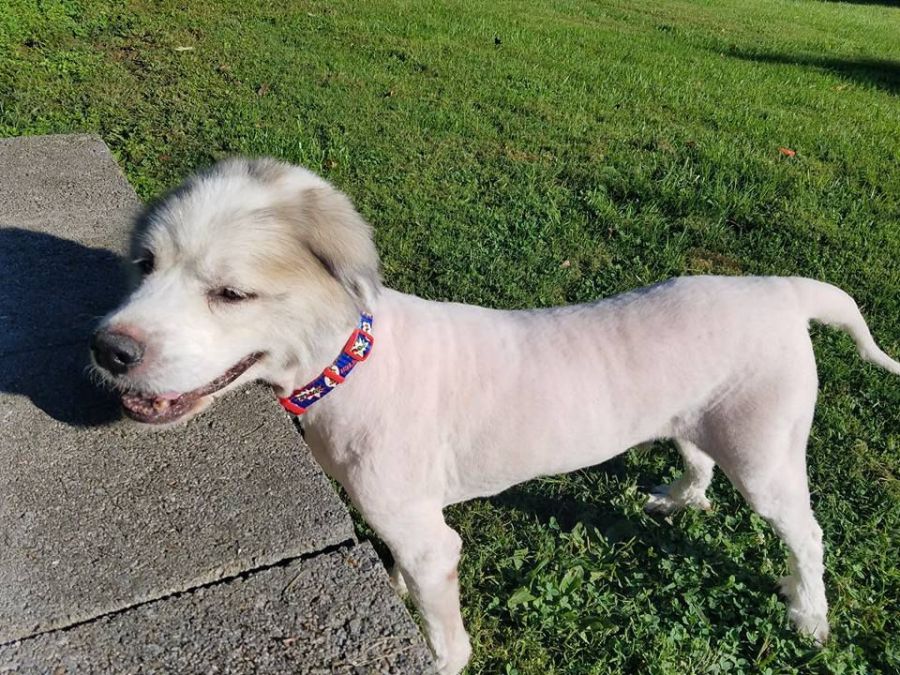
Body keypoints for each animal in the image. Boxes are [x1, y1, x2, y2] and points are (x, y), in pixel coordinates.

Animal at [93, 157, 900, 672]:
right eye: (144, 264)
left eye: (231, 293)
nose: (108, 349)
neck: (352, 363)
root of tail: (781, 289)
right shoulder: (399, 517)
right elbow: (398, 570)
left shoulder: (431, 540)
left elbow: (445, 634)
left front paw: (439, 652)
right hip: (700, 418)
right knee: (697, 458)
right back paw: (682, 498)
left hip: (764, 454)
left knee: (806, 533)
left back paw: (810, 614)